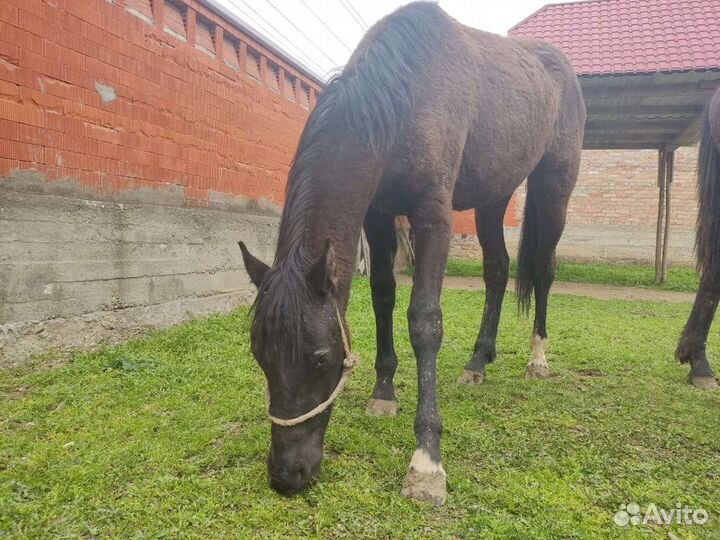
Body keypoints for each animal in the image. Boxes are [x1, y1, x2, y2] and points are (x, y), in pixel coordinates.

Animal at [238, 2, 585, 505]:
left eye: (320, 357)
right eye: (259, 355)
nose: (286, 475)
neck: (401, 97)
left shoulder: (432, 217)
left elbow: (424, 320)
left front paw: (426, 461)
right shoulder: (379, 215)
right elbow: (383, 296)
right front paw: (384, 392)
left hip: (553, 185)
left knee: (542, 268)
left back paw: (537, 359)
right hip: (493, 195)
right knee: (497, 269)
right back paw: (478, 361)